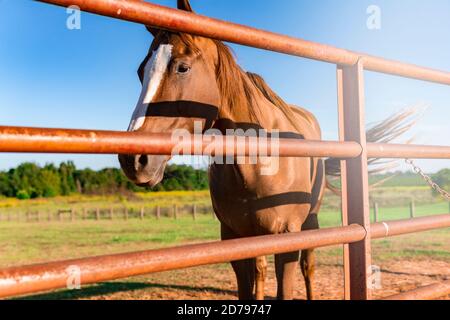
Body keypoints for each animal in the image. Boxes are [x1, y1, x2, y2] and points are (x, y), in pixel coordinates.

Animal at [119, 0, 418, 300]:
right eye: (140, 72)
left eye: (182, 67)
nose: (133, 159)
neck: (258, 163)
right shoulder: (233, 237)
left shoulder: (287, 237)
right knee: (261, 270)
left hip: (310, 221)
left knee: (308, 267)